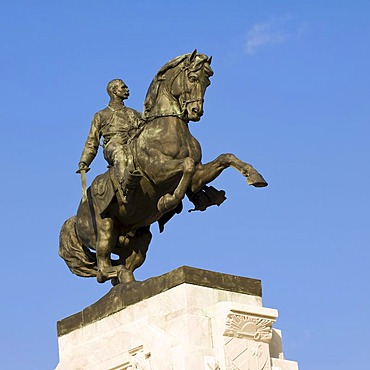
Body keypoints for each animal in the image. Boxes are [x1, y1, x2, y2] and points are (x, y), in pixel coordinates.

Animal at [58, 50, 266, 284]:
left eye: (208, 81)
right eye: (192, 78)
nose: (196, 111)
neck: (169, 129)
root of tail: (76, 217)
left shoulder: (197, 177)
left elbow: (223, 158)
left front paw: (254, 176)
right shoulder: (157, 172)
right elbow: (187, 166)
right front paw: (167, 201)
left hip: (139, 238)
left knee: (119, 270)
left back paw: (130, 280)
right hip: (105, 229)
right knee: (102, 270)